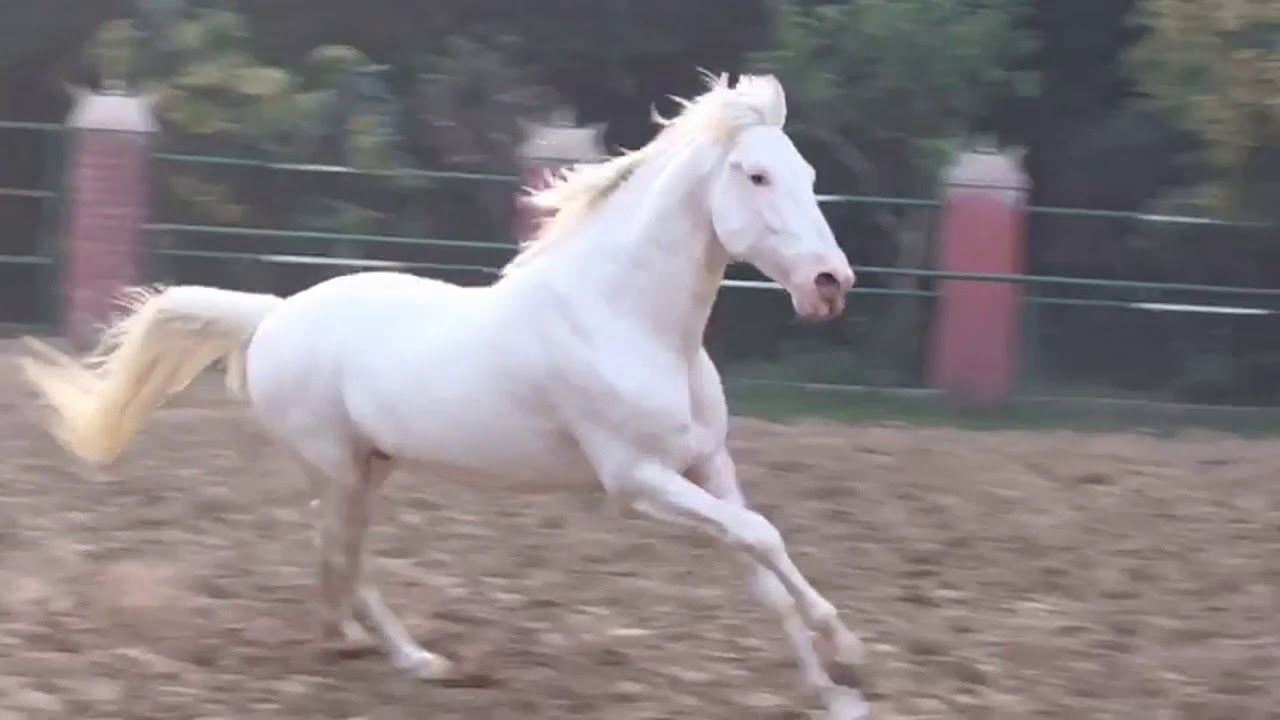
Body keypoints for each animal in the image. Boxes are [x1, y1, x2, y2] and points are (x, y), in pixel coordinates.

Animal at [19, 73, 869, 719]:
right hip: (338, 466)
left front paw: (834, 692)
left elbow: (760, 559)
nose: (832, 284)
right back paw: (406, 657)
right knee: (345, 557)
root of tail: (272, 314)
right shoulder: (637, 481)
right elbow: (760, 537)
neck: (627, 321)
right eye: (756, 176)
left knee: (339, 558)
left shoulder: (706, 465)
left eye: (810, 178)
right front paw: (851, 653)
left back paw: (374, 647)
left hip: (372, 465)